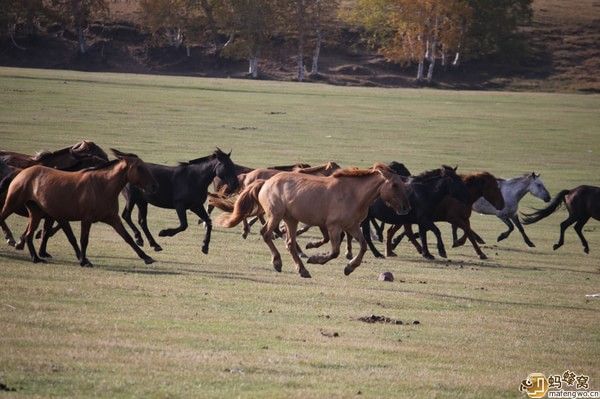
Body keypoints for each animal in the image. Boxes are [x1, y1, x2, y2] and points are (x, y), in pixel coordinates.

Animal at [0, 148, 158, 268]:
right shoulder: (85, 219)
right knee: (4, 219)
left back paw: (36, 258)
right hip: (11, 204)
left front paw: (147, 257)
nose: (154, 186)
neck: (102, 186)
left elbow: (128, 238)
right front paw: (84, 260)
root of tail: (21, 173)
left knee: (29, 234)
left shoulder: (113, 218)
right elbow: (82, 240)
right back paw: (13, 241)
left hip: (36, 213)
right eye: (139, 168)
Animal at [217, 164, 412, 280]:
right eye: (395, 185)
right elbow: (334, 252)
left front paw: (349, 267)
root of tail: (265, 182)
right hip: (276, 215)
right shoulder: (334, 226)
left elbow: (363, 246)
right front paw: (316, 258)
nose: (406, 208)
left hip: (291, 219)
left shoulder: (352, 226)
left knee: (289, 243)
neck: (353, 194)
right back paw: (278, 263)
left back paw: (302, 270)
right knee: (266, 234)